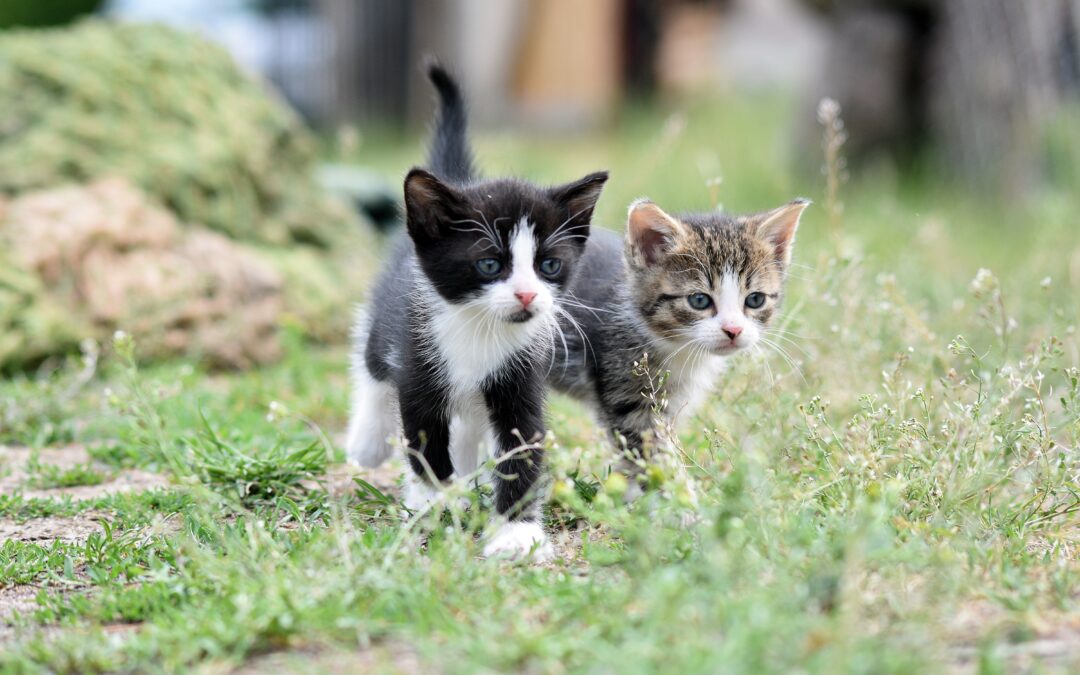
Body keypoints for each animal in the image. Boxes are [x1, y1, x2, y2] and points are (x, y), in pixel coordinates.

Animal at [349, 63, 613, 557]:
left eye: (549, 265)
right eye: (490, 264)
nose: (527, 295)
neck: (479, 329)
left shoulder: (520, 376)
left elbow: (521, 445)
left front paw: (516, 531)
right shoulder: (418, 367)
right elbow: (426, 445)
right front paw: (434, 504)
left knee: (470, 422)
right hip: (387, 325)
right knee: (372, 366)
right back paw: (367, 441)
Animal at [552, 197, 807, 455]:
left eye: (755, 299)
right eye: (699, 300)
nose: (733, 330)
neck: (676, 348)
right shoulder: (625, 391)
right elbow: (650, 451)